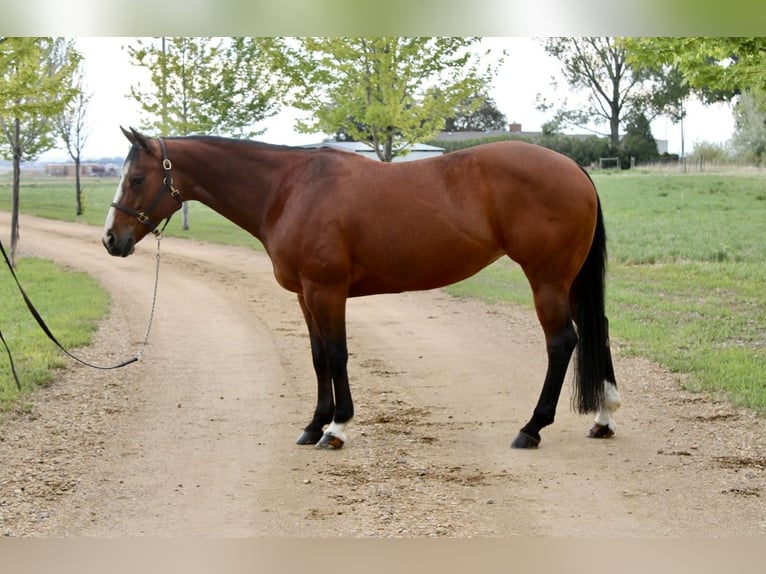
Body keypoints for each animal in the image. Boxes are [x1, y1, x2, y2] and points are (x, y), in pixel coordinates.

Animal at [102, 127, 621, 450]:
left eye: (136, 178)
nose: (111, 239)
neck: (288, 189)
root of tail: (573, 167)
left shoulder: (326, 291)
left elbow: (336, 355)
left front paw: (337, 428)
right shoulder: (305, 295)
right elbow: (317, 358)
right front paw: (314, 424)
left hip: (546, 278)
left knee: (563, 341)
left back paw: (532, 428)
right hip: (568, 279)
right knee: (597, 329)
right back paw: (603, 417)